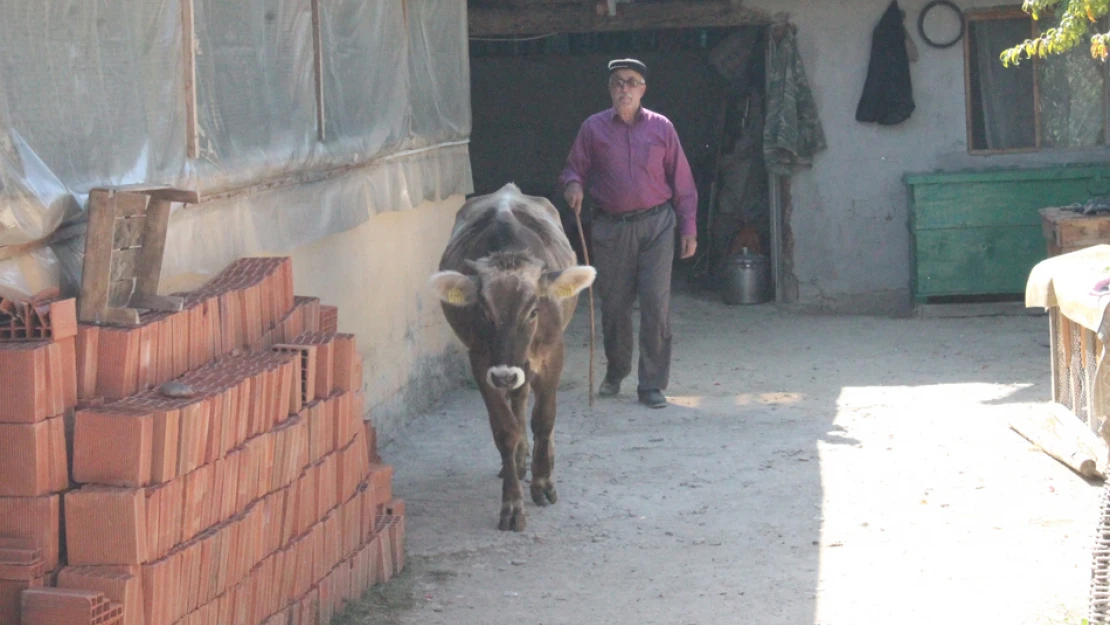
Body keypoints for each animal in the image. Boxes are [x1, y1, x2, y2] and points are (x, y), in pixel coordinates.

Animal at [428, 183, 594, 530]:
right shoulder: (481, 362)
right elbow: (505, 429)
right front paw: (513, 504)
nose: (505, 373)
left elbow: (544, 419)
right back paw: (516, 461)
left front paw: (543, 483)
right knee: (517, 401)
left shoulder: (553, 352)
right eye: (483, 311)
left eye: (533, 310)